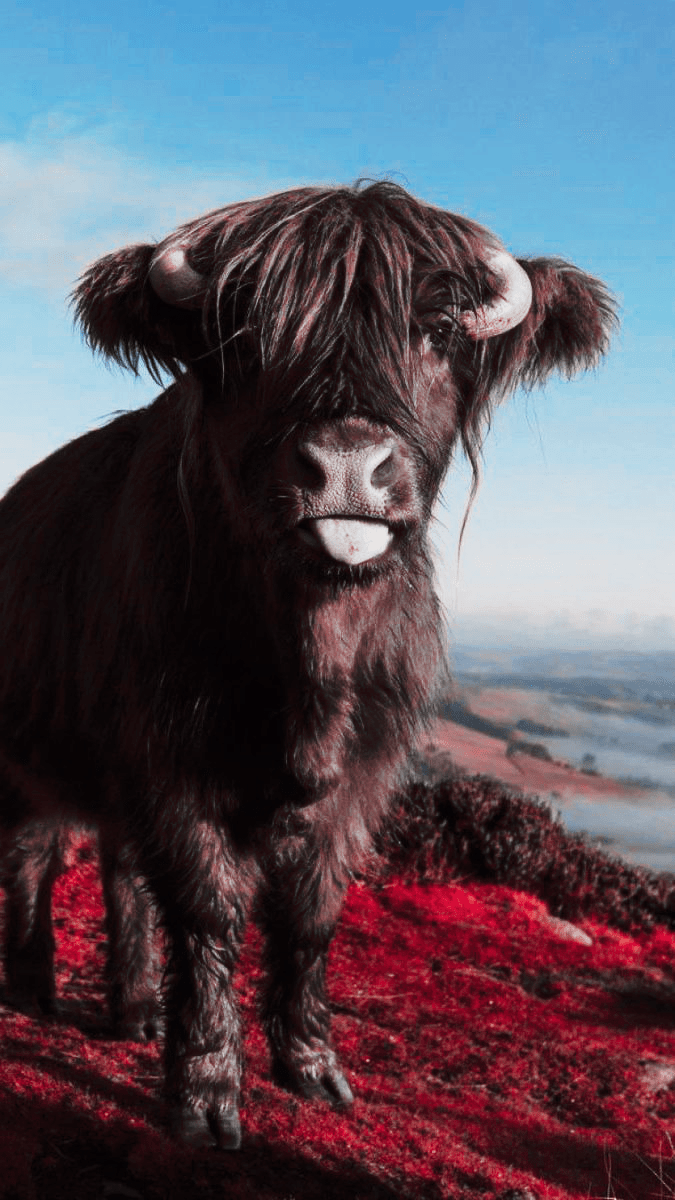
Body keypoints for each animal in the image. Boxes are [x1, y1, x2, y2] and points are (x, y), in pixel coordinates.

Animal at [0, 181, 616, 1148]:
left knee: (117, 867)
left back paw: (134, 1009)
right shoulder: (169, 760)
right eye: (248, 340)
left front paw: (311, 1066)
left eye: (438, 331)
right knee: (33, 851)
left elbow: (311, 912)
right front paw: (205, 1094)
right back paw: (34, 987)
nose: (346, 467)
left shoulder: (363, 771)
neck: (312, 664)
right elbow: (210, 907)